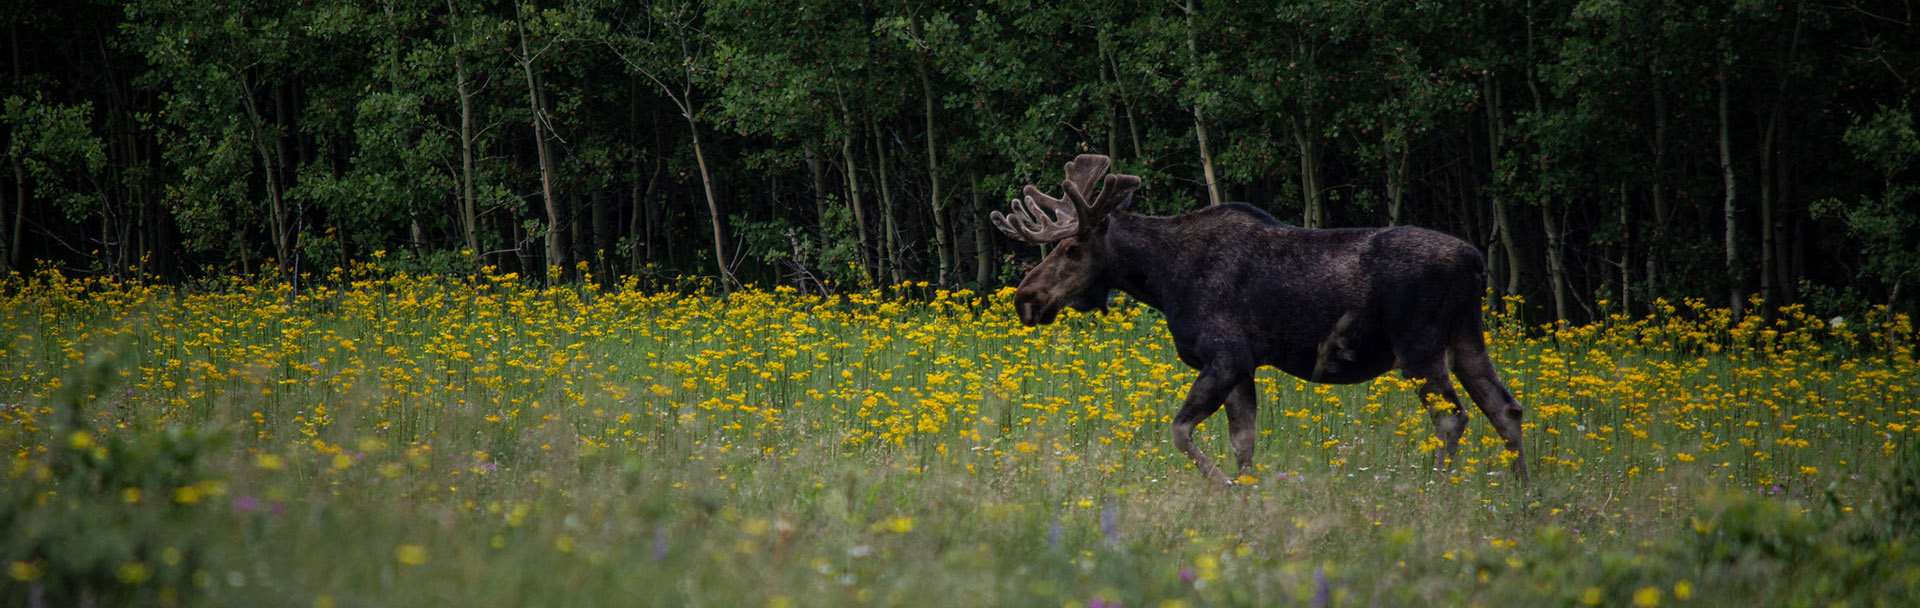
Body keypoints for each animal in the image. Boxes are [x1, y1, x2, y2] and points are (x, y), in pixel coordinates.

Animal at [991, 154, 1529, 486]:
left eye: (1072, 248)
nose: (1026, 299)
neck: (1162, 281)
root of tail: (1476, 263)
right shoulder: (1244, 366)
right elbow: (1244, 443)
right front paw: (1246, 493)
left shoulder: (1224, 356)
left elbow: (1181, 431)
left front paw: (1224, 486)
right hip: (1466, 340)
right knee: (1505, 408)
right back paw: (1521, 495)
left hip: (1419, 348)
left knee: (1452, 417)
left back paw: (1433, 489)